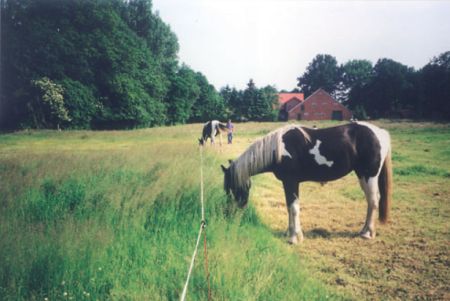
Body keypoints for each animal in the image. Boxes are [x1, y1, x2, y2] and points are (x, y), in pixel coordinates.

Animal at [223, 122, 392, 244]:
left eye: (230, 188)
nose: (231, 214)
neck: (279, 149)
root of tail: (380, 132)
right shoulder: (288, 183)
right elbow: (289, 207)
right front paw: (290, 232)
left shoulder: (291, 182)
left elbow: (293, 208)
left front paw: (294, 238)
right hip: (362, 176)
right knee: (371, 201)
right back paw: (364, 230)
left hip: (369, 175)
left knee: (373, 201)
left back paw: (367, 233)